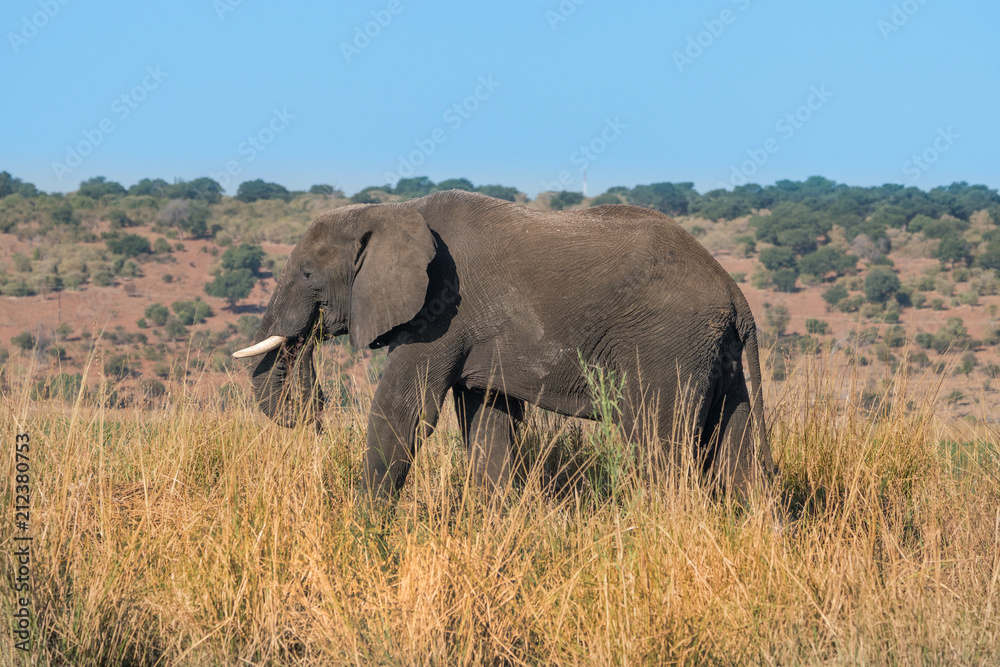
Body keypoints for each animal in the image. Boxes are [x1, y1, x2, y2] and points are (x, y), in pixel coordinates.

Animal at [232, 190, 774, 498]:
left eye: (307, 274)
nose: (314, 410)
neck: (394, 212)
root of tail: (734, 291)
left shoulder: (441, 309)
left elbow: (403, 409)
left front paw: (365, 529)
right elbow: (489, 418)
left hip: (667, 347)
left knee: (662, 447)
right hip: (716, 353)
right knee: (737, 446)